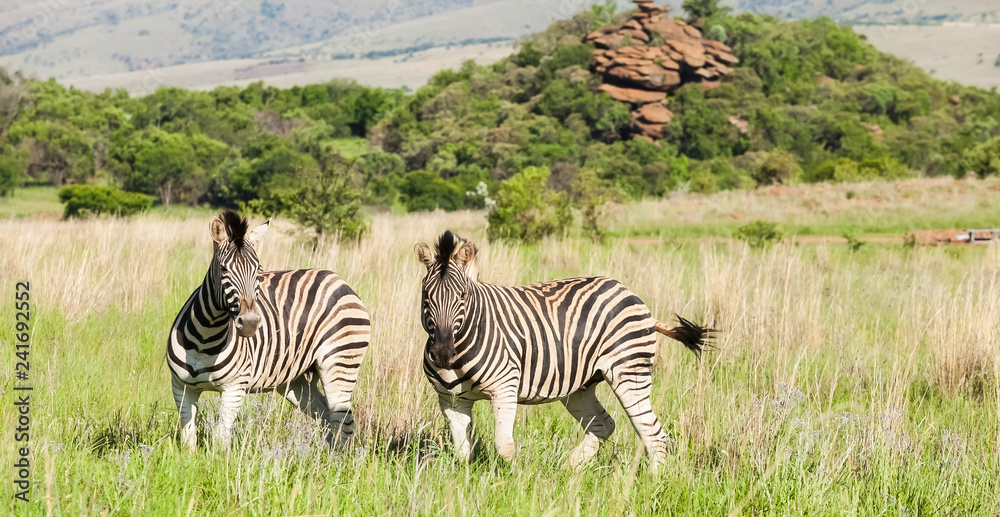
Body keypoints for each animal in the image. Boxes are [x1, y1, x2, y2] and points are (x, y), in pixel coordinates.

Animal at [167, 211, 370, 451]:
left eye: (258, 269)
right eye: (224, 269)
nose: (250, 323)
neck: (205, 337)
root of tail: (338, 279)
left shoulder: (234, 388)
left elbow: (221, 437)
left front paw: (219, 460)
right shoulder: (182, 388)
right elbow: (188, 439)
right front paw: (191, 459)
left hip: (340, 362)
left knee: (343, 420)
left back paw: (338, 459)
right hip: (296, 379)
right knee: (326, 416)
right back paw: (322, 457)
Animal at [414, 231, 712, 471]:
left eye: (462, 297)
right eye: (426, 296)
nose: (442, 353)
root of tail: (627, 291)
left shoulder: (504, 389)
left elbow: (504, 447)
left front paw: (518, 482)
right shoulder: (452, 400)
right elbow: (462, 452)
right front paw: (463, 487)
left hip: (629, 373)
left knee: (653, 434)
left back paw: (652, 482)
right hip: (580, 387)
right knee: (604, 424)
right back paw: (570, 468)